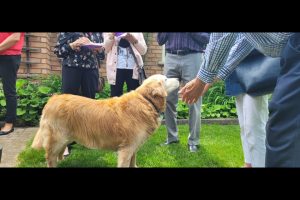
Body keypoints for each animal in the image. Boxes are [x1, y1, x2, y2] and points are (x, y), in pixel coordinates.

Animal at [31, 74, 179, 166]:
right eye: (166, 79)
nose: (178, 78)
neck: (146, 101)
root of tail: (52, 98)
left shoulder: (133, 147)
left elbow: (133, 162)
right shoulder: (127, 148)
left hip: (65, 137)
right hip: (58, 137)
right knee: (50, 157)